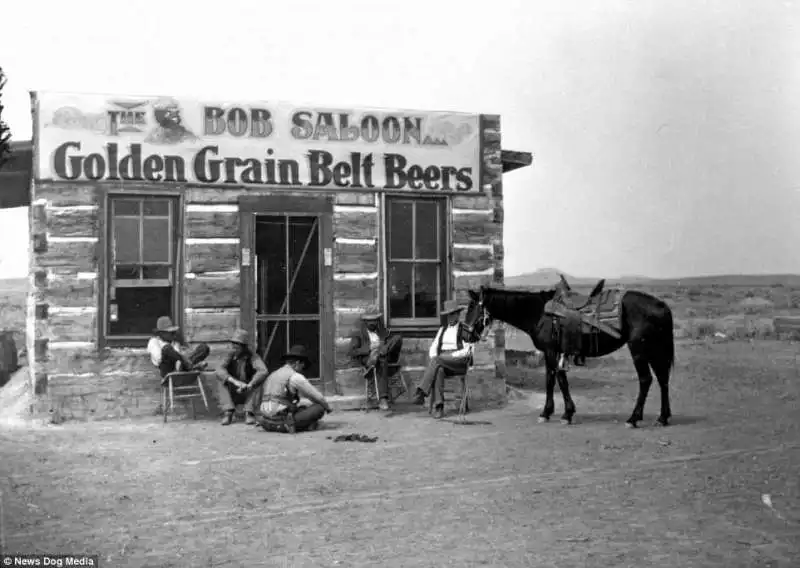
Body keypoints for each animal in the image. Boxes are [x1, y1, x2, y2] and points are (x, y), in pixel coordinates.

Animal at [462, 286, 676, 428]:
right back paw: (663, 417)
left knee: (646, 379)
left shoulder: (550, 351)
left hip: (639, 349)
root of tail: (661, 305)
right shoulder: (554, 352)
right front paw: (559, 412)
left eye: (472, 307)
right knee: (663, 379)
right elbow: (556, 379)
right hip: (654, 348)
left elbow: (555, 380)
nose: (466, 335)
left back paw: (633, 418)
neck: (538, 313)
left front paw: (557, 413)